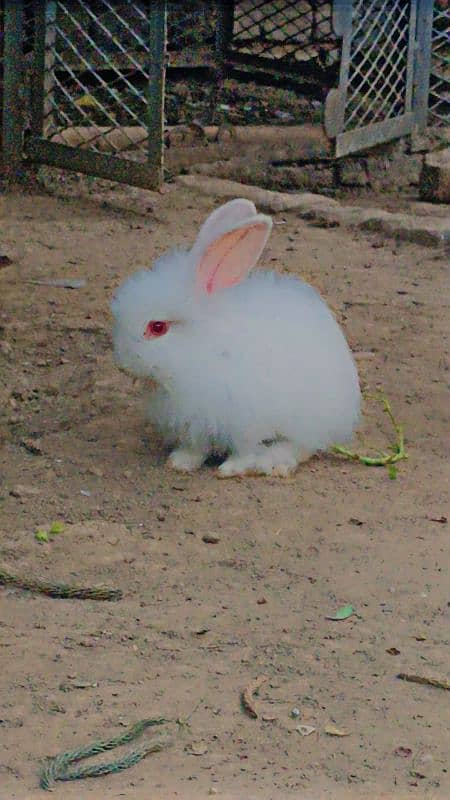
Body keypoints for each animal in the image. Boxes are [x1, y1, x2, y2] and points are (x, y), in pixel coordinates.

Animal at [112, 198, 362, 476]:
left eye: (157, 327)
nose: (121, 363)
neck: (198, 349)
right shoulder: (194, 426)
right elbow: (195, 448)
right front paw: (180, 463)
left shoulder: (245, 423)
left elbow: (245, 451)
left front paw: (229, 470)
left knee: (302, 445)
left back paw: (275, 462)